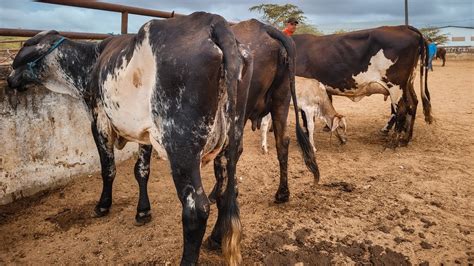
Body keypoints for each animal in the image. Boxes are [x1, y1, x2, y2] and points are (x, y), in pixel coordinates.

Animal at [7, 12, 252, 266]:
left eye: (25, 46)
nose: (9, 79)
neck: (91, 61)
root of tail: (213, 22)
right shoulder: (144, 134)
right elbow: (141, 171)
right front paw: (143, 211)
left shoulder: (99, 121)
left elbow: (108, 169)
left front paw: (103, 205)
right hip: (229, 140)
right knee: (226, 191)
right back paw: (216, 239)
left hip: (181, 147)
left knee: (196, 208)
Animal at [294, 25, 436, 147]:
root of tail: (403, 27)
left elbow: (305, 117)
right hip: (407, 83)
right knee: (413, 103)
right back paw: (405, 139)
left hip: (396, 86)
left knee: (402, 109)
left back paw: (393, 142)